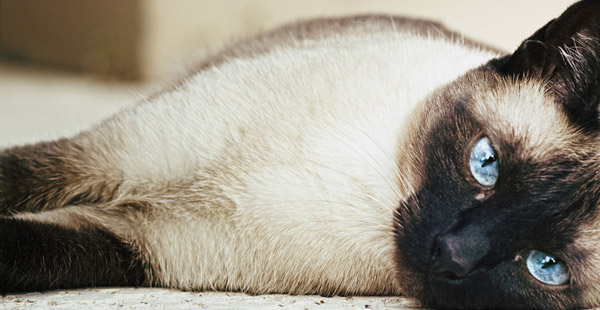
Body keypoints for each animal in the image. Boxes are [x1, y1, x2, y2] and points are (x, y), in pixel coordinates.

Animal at [1, 0, 600, 308]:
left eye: (546, 266)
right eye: (486, 163)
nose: (451, 252)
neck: (365, 193)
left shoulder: (131, 241)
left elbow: (23, 246)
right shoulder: (104, 158)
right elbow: (16, 177)